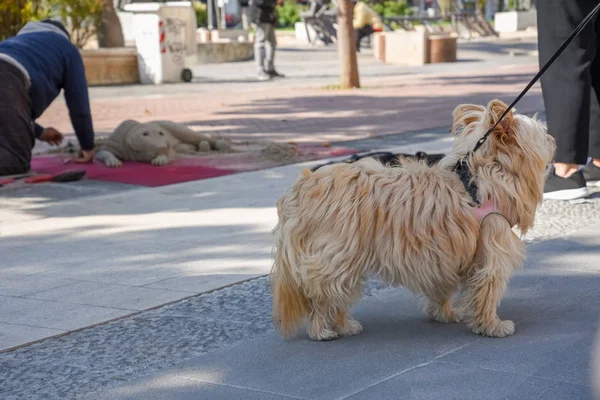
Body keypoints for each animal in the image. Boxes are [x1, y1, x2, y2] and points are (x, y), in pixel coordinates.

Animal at [270, 99, 556, 340]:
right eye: (540, 134)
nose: (552, 138)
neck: (478, 179)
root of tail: (300, 187)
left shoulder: (446, 255)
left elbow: (444, 288)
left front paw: (444, 314)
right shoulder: (491, 252)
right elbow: (487, 289)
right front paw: (491, 325)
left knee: (336, 293)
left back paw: (343, 325)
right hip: (336, 256)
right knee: (323, 297)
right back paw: (322, 329)